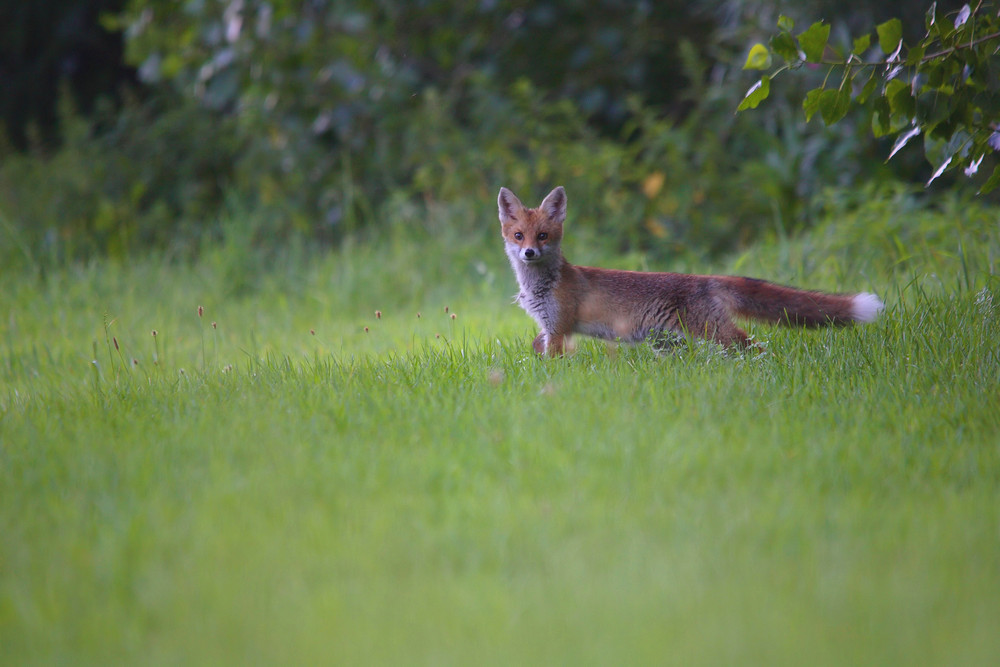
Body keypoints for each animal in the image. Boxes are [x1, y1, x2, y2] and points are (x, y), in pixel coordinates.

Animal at [500, 185, 884, 358]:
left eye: (543, 236)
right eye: (519, 236)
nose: (529, 252)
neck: (542, 285)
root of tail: (706, 279)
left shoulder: (560, 327)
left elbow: (551, 359)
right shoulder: (548, 327)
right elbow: (536, 346)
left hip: (711, 331)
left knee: (752, 345)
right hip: (668, 340)